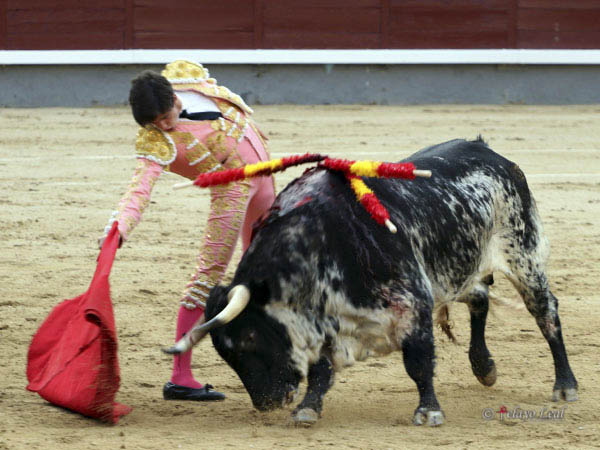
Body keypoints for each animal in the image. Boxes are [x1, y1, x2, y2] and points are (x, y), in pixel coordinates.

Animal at [164, 137, 578, 427]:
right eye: (224, 352)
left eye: (250, 337)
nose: (267, 403)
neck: (317, 244)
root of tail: (492, 153)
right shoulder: (328, 319)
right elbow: (321, 369)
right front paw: (307, 409)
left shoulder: (412, 302)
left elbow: (418, 360)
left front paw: (428, 412)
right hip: (457, 269)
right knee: (479, 297)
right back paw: (484, 367)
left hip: (524, 257)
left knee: (546, 312)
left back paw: (565, 385)